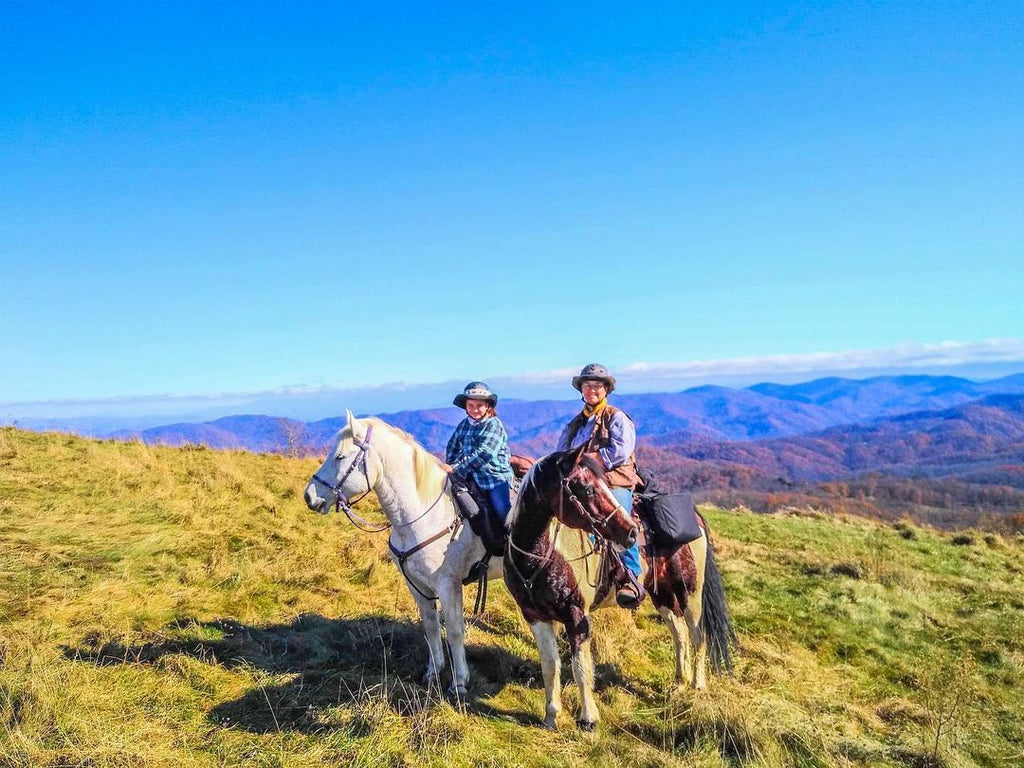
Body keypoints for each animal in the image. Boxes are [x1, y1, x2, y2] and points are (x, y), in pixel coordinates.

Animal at [299, 411, 499, 700]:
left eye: (340, 456)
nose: (309, 496)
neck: (422, 513)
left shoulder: (448, 585)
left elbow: (454, 632)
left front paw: (459, 683)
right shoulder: (415, 584)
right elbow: (430, 626)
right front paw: (432, 673)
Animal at [505, 450, 733, 733]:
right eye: (588, 489)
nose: (632, 532)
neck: (540, 555)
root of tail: (695, 517)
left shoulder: (576, 615)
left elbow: (581, 667)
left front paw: (589, 719)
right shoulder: (535, 616)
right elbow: (550, 665)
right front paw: (551, 716)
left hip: (689, 594)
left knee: (697, 636)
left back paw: (697, 686)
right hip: (662, 595)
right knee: (679, 633)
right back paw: (679, 684)